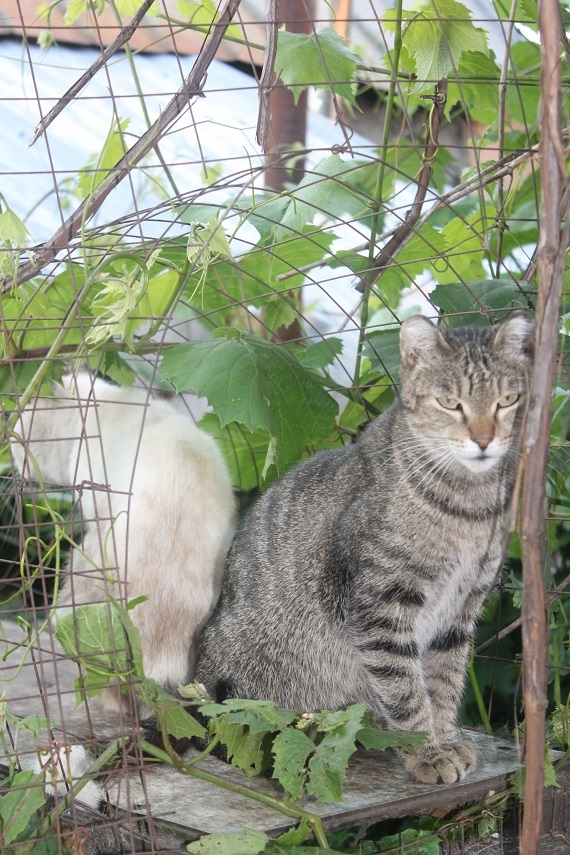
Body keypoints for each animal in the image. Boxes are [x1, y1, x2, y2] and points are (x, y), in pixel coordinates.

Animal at [196, 314, 532, 784]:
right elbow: (406, 691)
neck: (469, 506)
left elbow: (443, 685)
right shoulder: (382, 605)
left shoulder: (461, 610)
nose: (484, 440)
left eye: (507, 400)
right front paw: (427, 753)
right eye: (450, 403)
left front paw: (446, 739)